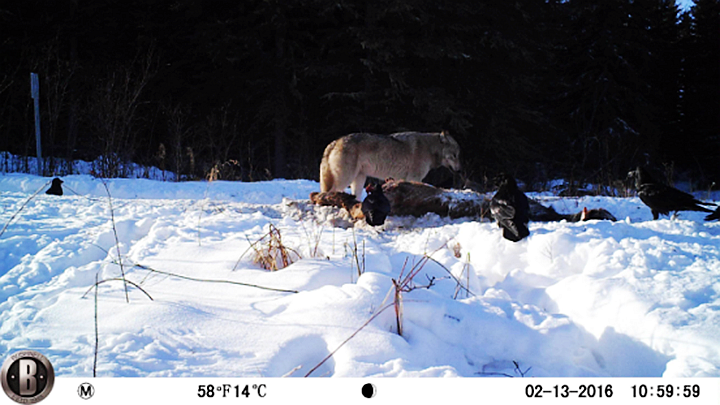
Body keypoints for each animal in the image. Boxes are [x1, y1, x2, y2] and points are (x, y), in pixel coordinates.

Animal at [320, 131, 462, 197]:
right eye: (455, 155)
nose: (459, 170)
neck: (430, 148)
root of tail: (334, 142)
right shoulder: (414, 178)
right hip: (345, 180)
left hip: (359, 179)